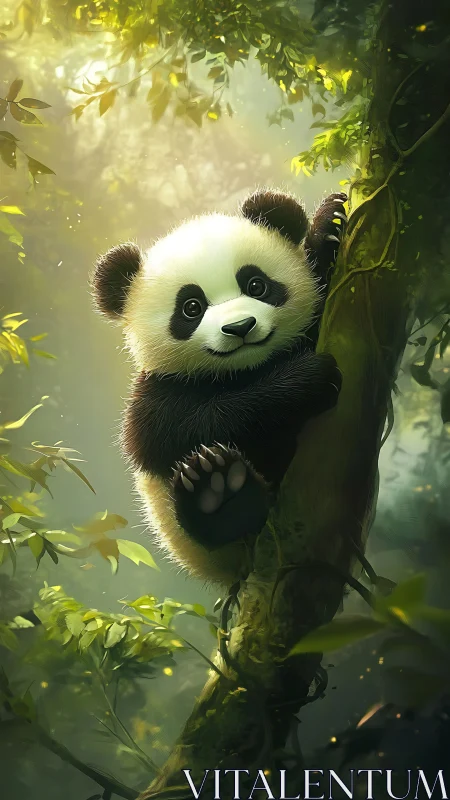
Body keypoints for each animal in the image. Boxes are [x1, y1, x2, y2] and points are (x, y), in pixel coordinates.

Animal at [91, 189, 346, 585]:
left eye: (256, 285)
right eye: (191, 307)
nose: (240, 327)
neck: (246, 369)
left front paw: (328, 227)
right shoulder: (157, 390)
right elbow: (177, 431)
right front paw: (306, 380)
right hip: (186, 536)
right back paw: (220, 490)